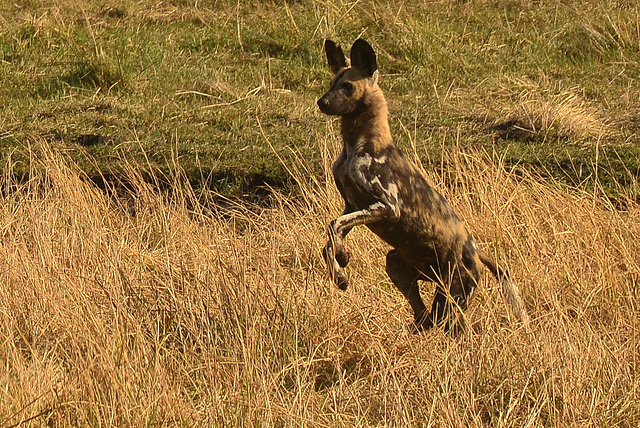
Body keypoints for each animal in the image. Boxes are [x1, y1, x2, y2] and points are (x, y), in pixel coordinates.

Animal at [316, 39, 528, 332]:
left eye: (347, 87)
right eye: (331, 83)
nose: (322, 102)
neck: (356, 144)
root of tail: (476, 252)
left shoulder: (386, 206)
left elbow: (334, 225)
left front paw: (341, 269)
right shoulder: (352, 205)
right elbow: (330, 236)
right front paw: (341, 261)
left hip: (453, 296)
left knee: (450, 328)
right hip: (398, 267)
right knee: (424, 317)